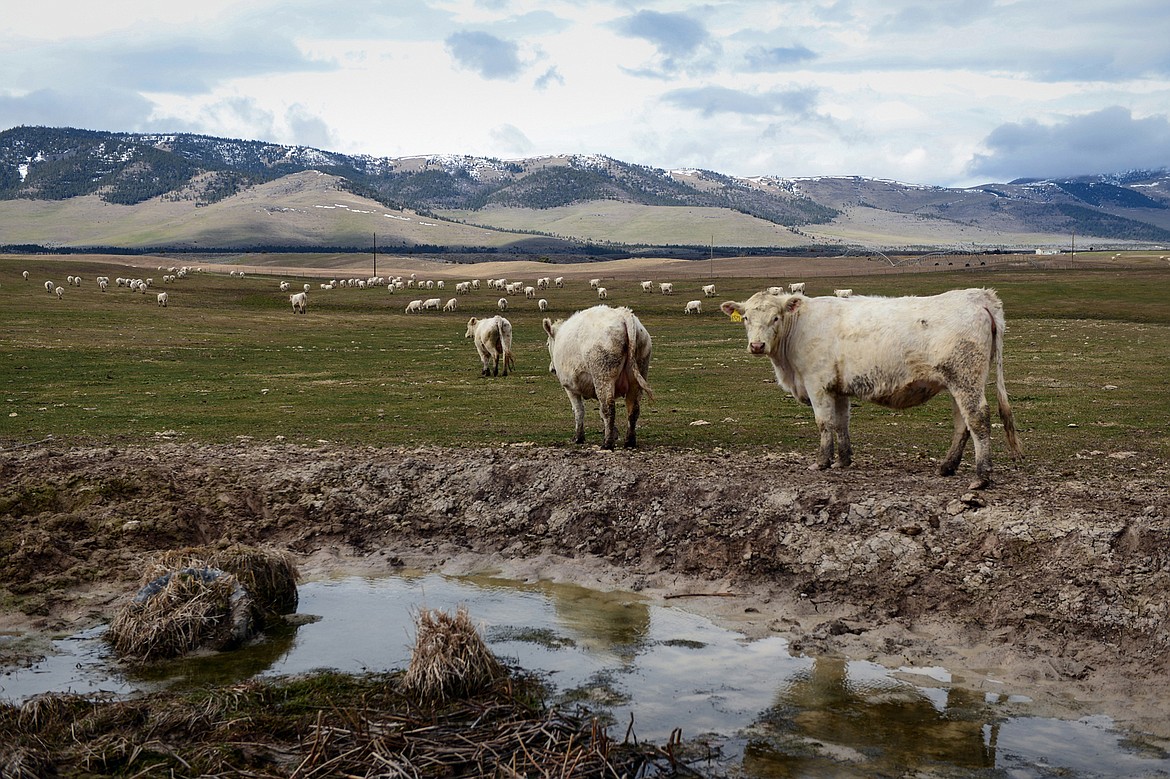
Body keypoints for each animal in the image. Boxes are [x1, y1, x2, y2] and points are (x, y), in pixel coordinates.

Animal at [542, 304, 655, 449]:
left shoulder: (570, 388)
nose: (551, 368)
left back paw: (607, 443)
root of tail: (623, 314)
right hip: (637, 375)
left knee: (608, 408)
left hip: (603, 376)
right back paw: (629, 441)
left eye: (547, 344)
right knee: (633, 409)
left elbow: (579, 411)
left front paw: (578, 437)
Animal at [720, 287, 1024, 488]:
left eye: (775, 318)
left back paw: (981, 477)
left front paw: (822, 462)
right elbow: (841, 423)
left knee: (978, 419)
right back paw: (947, 467)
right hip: (956, 383)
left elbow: (824, 423)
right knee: (963, 424)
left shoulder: (817, 384)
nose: (756, 345)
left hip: (966, 379)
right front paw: (843, 461)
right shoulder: (837, 388)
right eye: (746, 318)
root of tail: (979, 297)